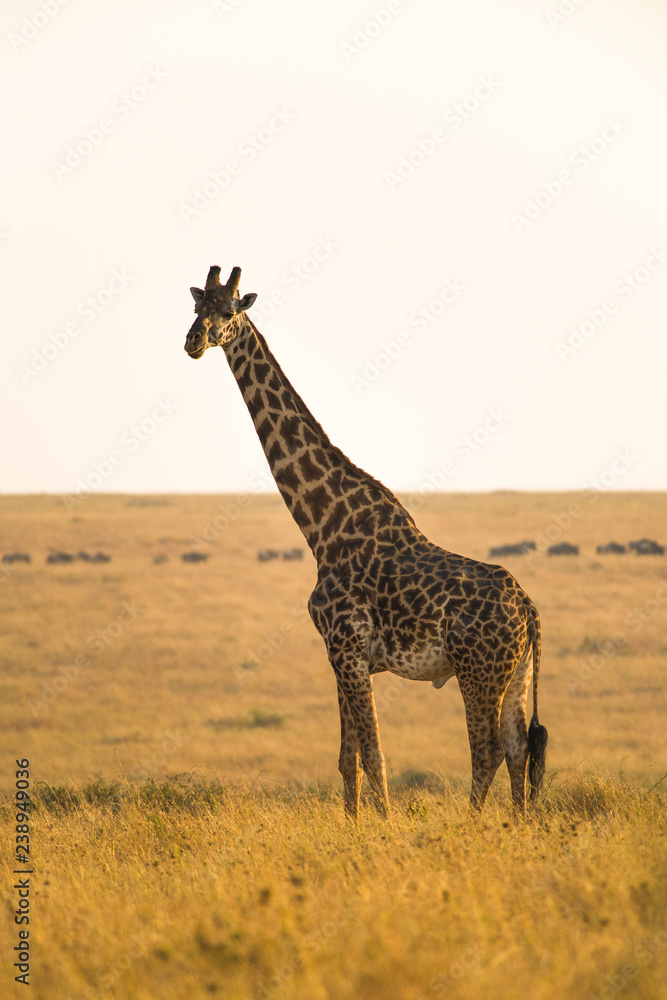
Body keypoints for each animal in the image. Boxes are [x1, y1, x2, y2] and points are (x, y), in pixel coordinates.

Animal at [184, 265, 548, 819]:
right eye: (195, 307)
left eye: (228, 311)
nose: (193, 342)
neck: (322, 527)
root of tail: (528, 609)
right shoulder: (341, 655)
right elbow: (347, 758)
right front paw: (356, 826)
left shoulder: (348, 647)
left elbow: (373, 754)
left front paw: (384, 826)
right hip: (517, 673)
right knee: (517, 748)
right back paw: (518, 827)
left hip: (478, 669)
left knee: (486, 750)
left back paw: (471, 826)